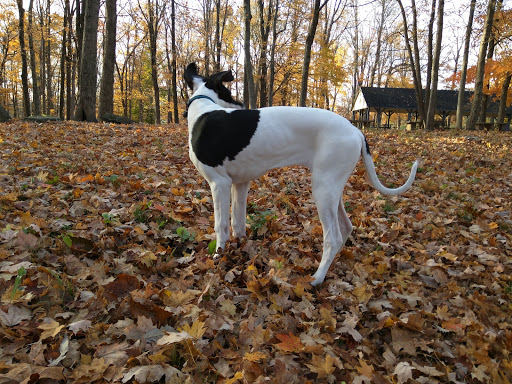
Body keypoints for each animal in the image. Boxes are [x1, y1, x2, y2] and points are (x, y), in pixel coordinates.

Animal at [184, 63, 420, 284]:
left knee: (332, 238)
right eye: (228, 91)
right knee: (345, 228)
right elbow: (238, 223)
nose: (242, 106)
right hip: (332, 189)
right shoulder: (240, 184)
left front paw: (219, 256)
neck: (202, 108)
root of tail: (357, 131)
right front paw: (240, 248)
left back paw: (317, 278)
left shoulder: (219, 183)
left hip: (322, 190)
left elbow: (221, 225)